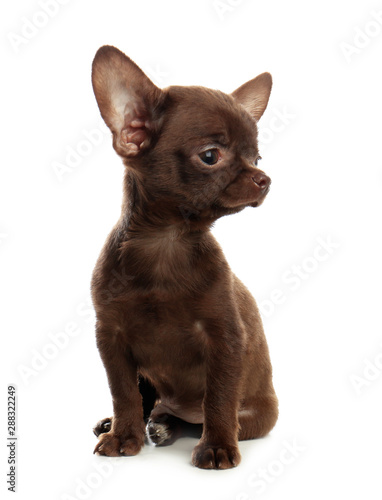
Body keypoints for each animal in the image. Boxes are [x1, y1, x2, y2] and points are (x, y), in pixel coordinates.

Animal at [91, 46, 280, 468]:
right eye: (211, 156)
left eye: (257, 159)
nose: (264, 179)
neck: (168, 241)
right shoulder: (112, 337)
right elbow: (123, 392)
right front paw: (123, 434)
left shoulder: (224, 338)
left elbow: (219, 398)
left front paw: (217, 446)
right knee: (151, 401)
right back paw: (134, 424)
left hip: (259, 416)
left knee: (203, 414)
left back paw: (171, 428)